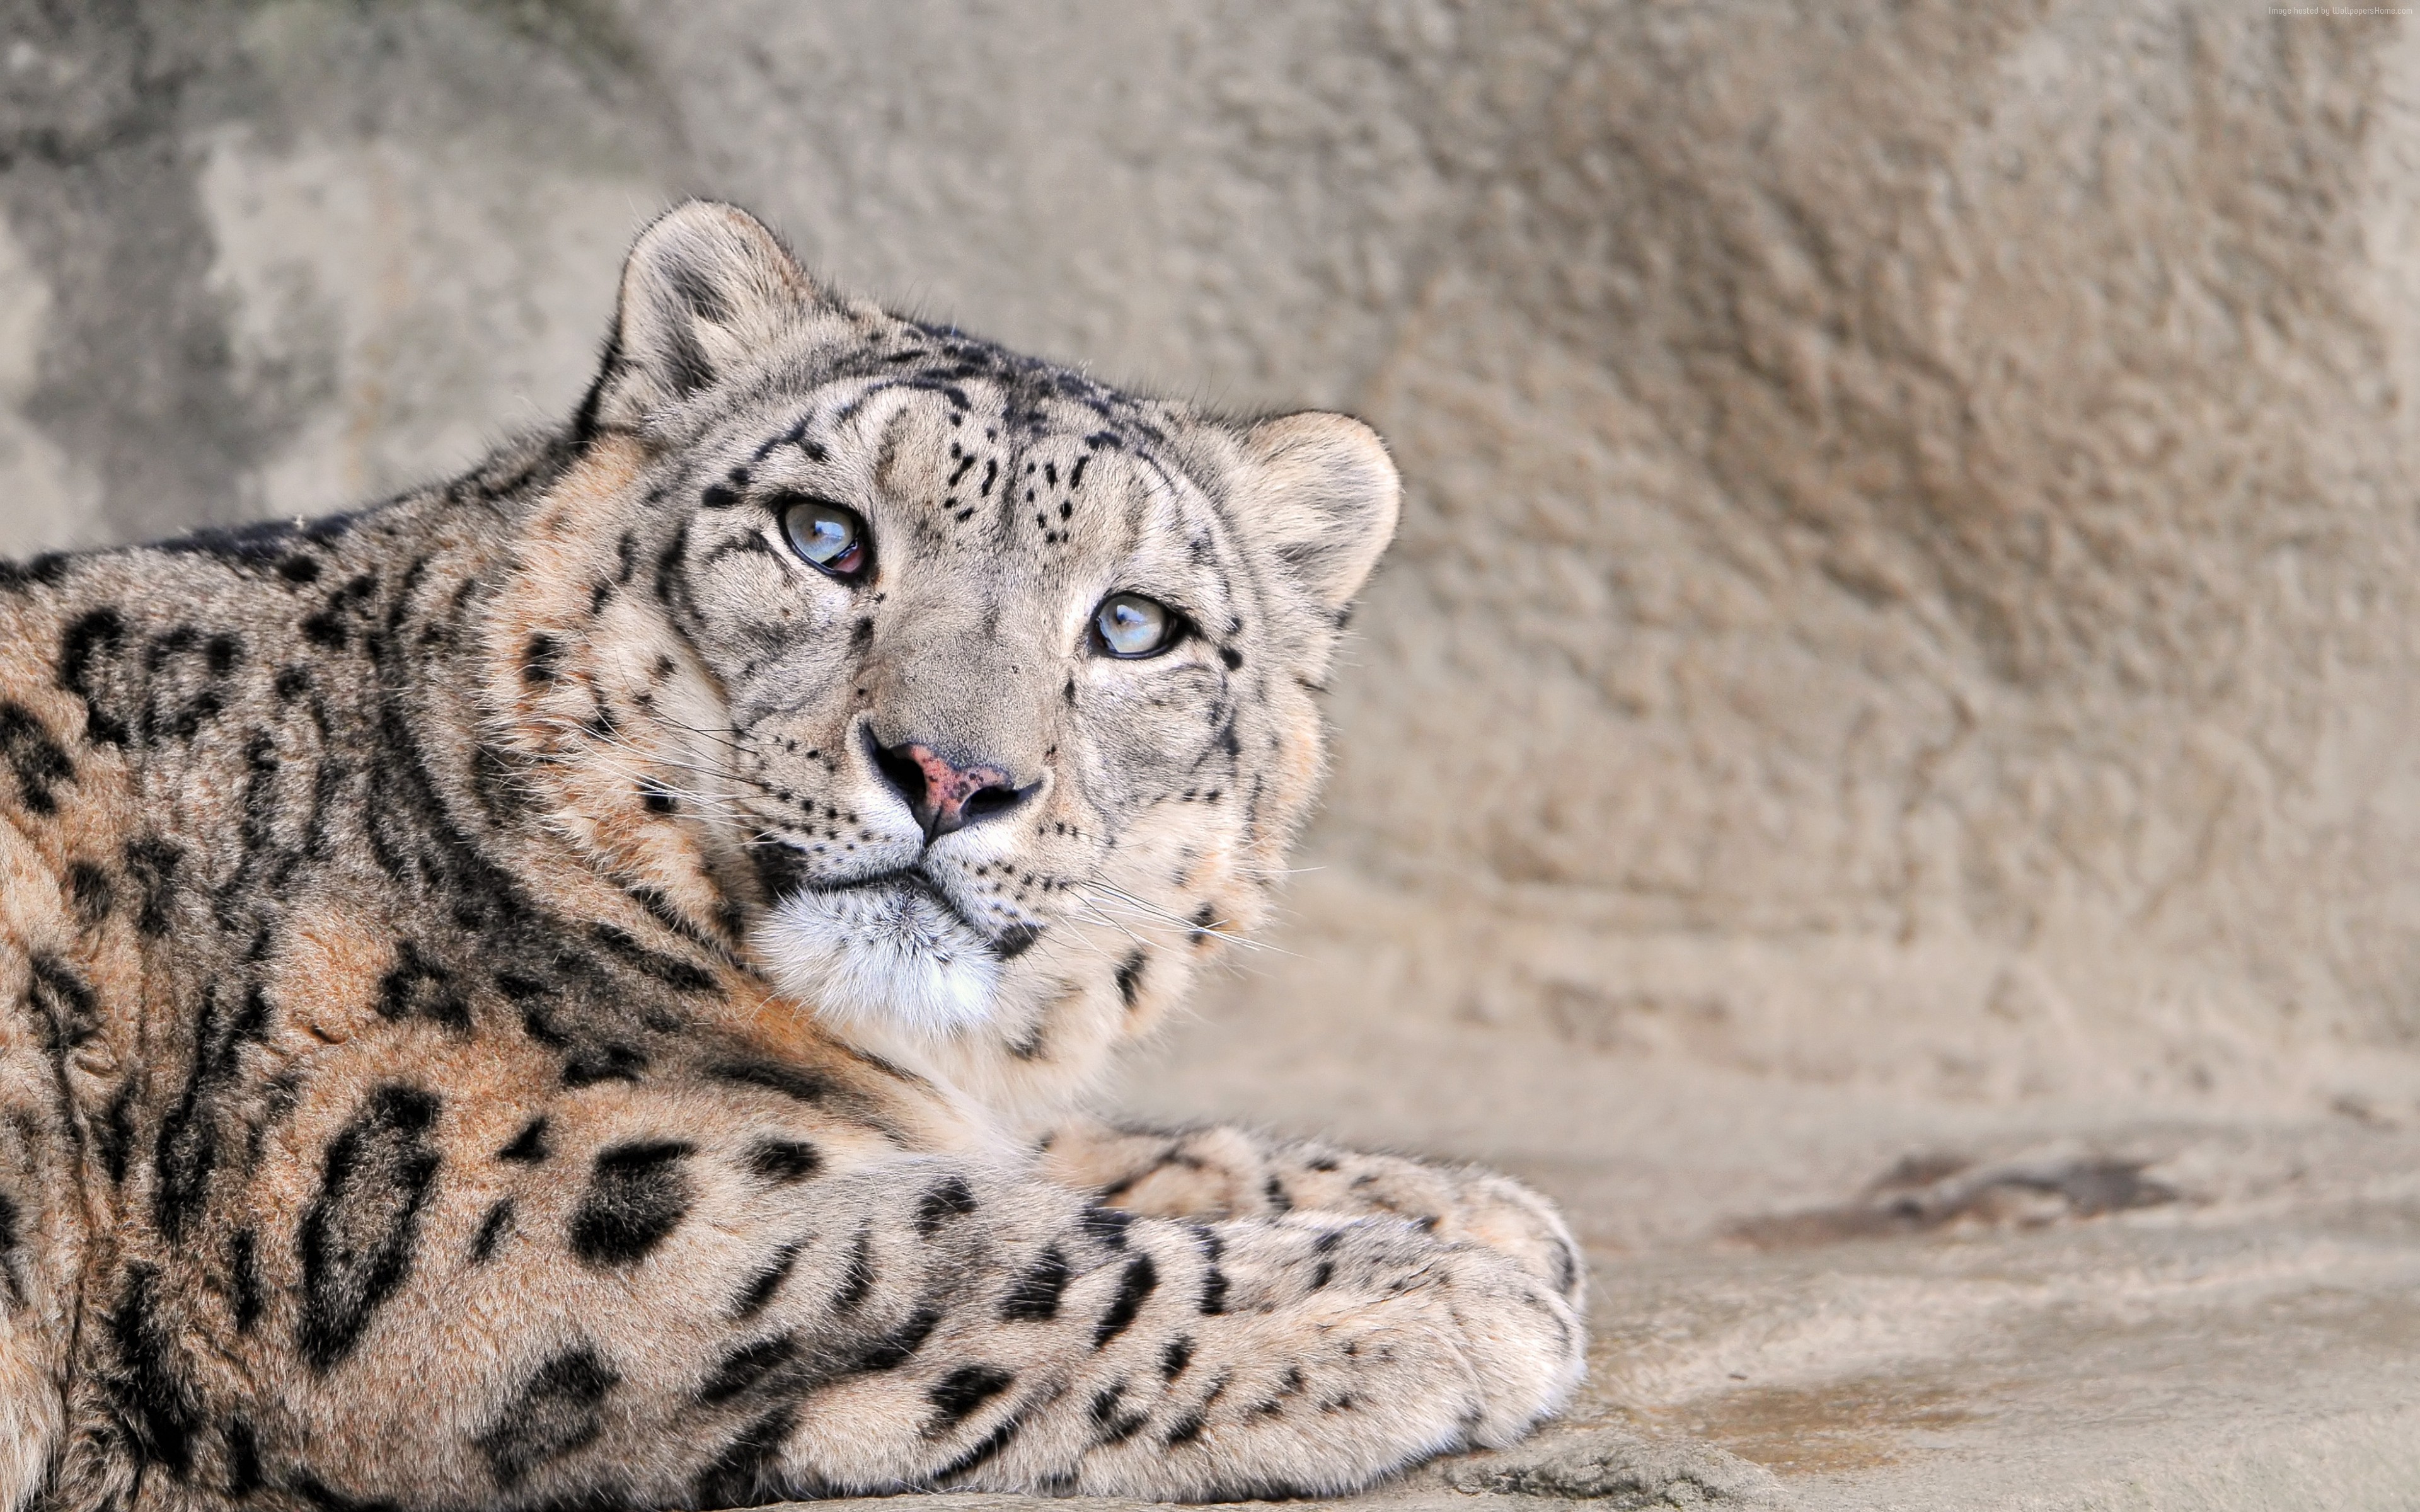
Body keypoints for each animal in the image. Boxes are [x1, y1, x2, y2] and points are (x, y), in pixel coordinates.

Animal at [0, 201, 1585, 1511]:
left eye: (1134, 625)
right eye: (824, 534)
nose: (952, 773)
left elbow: (1061, 1154)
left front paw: (1468, 1207)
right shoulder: (491, 1212)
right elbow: (967, 1246)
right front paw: (1443, 1294)